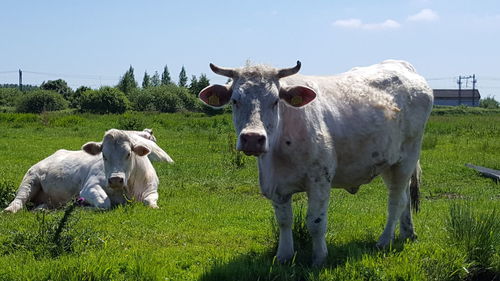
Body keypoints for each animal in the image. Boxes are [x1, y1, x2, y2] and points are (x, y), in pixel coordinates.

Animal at [3, 128, 174, 211]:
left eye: (128, 153)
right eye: (104, 155)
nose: (115, 179)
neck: (128, 190)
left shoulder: (151, 189)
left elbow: (150, 202)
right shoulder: (88, 187)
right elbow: (105, 204)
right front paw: (84, 208)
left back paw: (43, 209)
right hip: (30, 179)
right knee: (19, 200)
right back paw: (10, 209)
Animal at [199, 59, 434, 264]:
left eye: (275, 101)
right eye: (235, 101)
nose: (252, 138)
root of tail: (401, 65)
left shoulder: (320, 180)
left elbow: (315, 223)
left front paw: (319, 258)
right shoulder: (277, 186)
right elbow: (284, 221)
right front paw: (284, 256)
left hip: (407, 157)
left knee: (396, 201)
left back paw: (384, 240)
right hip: (388, 162)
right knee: (404, 197)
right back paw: (407, 233)